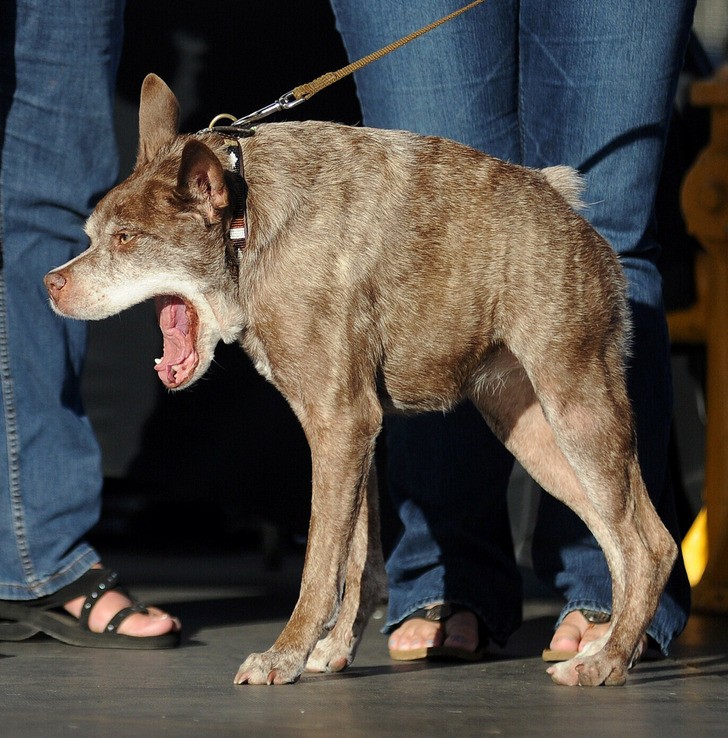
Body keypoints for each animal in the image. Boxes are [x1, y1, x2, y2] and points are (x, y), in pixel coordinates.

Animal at [42, 75, 672, 684]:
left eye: (126, 239)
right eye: (92, 234)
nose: (51, 284)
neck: (247, 224)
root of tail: (572, 212)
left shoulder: (340, 423)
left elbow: (320, 564)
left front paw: (284, 656)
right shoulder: (355, 431)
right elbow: (360, 560)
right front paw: (333, 650)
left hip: (576, 410)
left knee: (649, 548)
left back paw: (606, 661)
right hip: (534, 434)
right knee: (625, 544)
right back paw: (608, 646)